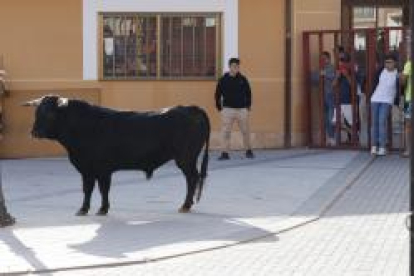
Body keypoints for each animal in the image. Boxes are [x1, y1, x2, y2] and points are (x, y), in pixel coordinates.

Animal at [23, 96, 210, 216]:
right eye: (36, 112)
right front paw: (84, 209)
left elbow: (102, 189)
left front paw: (102, 209)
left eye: (50, 113)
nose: (34, 132)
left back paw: (185, 205)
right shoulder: (87, 169)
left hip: (186, 158)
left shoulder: (102, 169)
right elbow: (87, 189)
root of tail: (190, 108)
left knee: (192, 178)